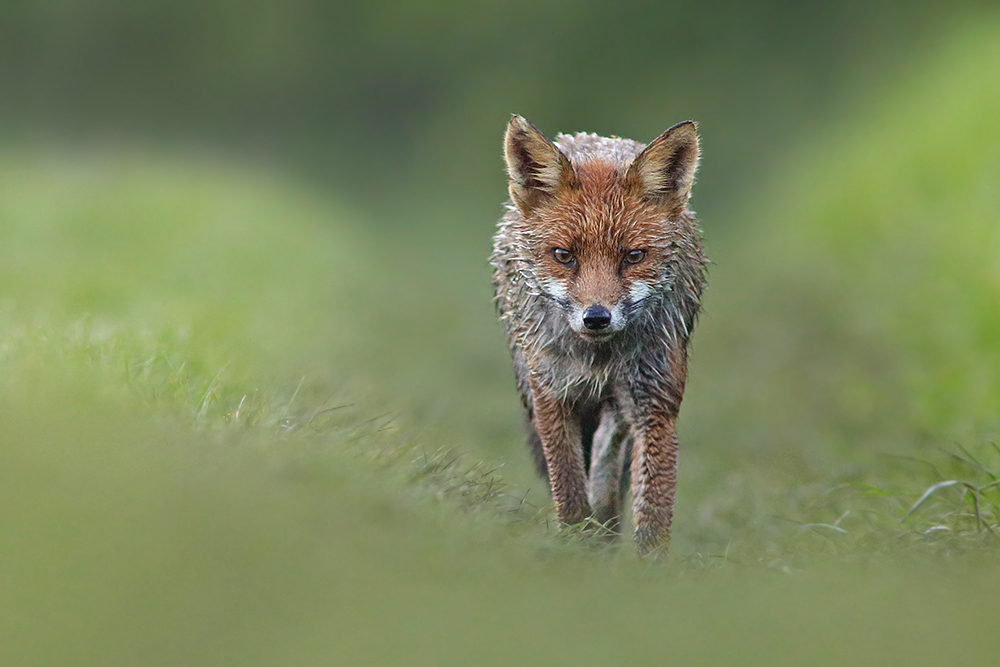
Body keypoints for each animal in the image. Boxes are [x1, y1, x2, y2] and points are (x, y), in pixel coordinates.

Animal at [490, 115, 708, 552]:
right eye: (563, 256)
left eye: (634, 256)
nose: (596, 317)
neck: (598, 358)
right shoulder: (551, 395)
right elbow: (569, 489)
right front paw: (575, 548)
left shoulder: (654, 402)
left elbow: (651, 511)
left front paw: (646, 563)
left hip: (618, 412)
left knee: (608, 467)